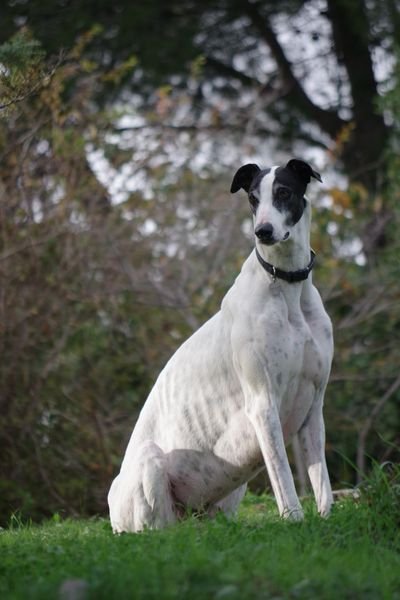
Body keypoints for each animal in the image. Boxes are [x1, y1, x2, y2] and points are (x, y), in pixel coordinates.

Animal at [108, 158, 334, 532]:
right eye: (253, 198)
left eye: (284, 192)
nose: (263, 232)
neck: (286, 286)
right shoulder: (262, 404)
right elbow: (283, 477)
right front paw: (295, 519)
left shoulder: (313, 406)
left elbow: (321, 481)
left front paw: (327, 516)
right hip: (152, 466)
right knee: (156, 530)